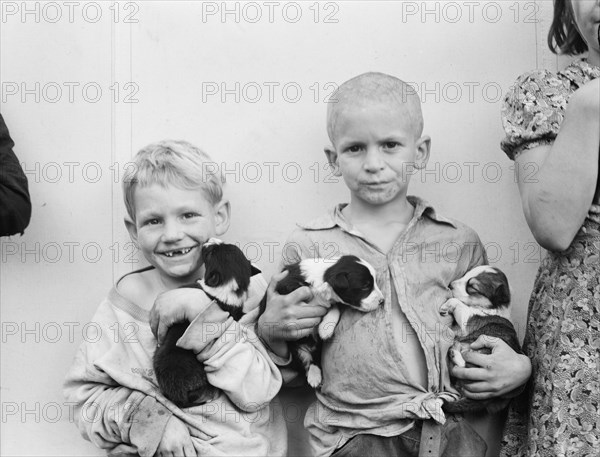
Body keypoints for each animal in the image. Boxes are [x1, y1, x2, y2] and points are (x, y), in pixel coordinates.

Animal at [262, 255, 384, 386]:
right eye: (365, 286)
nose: (382, 300)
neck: (324, 275)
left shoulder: (331, 302)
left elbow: (334, 309)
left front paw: (325, 330)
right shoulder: (286, 285)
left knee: (314, 356)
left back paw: (315, 375)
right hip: (295, 348)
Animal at [440, 264, 524, 414]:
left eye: (472, 287)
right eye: (465, 274)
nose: (450, 285)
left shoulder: (467, 320)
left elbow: (458, 303)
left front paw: (446, 305)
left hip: (480, 352)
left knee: (463, 365)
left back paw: (454, 354)